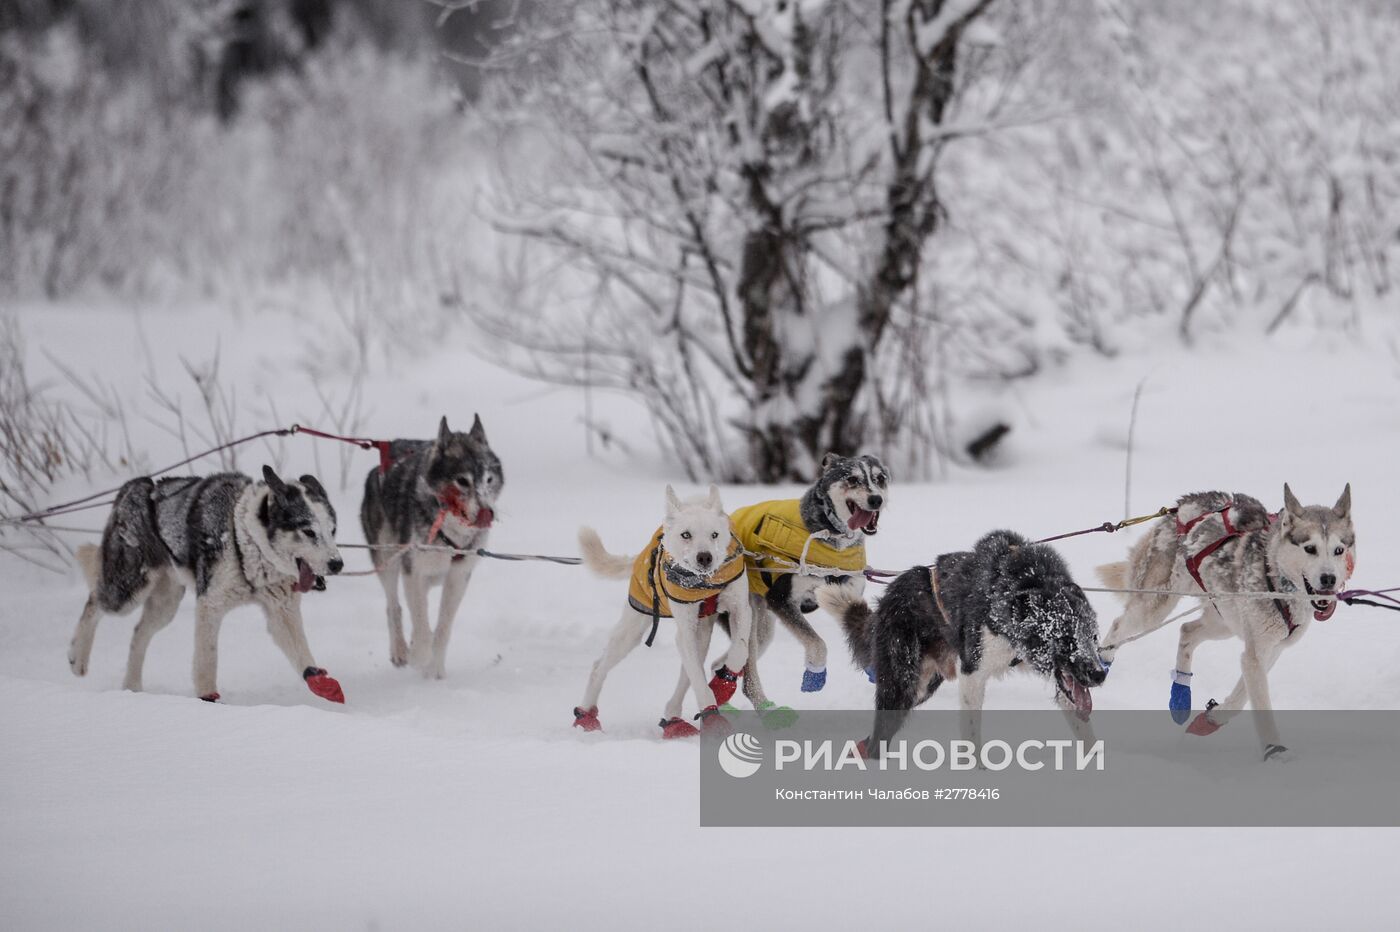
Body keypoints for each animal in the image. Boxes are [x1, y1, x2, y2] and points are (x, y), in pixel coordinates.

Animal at [68, 467, 347, 699]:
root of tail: (135, 485)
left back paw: (132, 686)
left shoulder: (281, 611)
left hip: (165, 604)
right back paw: (77, 657)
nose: (337, 564)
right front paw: (208, 697)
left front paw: (320, 683)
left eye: (332, 530)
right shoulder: (210, 606)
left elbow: (303, 654)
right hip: (127, 590)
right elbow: (207, 658)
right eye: (309, 531)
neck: (245, 539)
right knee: (95, 600)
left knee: (139, 633)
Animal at [361, 417, 504, 680]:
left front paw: (435, 667)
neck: (450, 530)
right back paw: (401, 650)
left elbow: (443, 626)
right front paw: (421, 656)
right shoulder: (413, 570)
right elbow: (419, 618)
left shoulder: (458, 575)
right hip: (387, 558)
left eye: (488, 479)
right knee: (394, 605)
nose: (487, 513)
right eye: (462, 480)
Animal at [817, 526, 1103, 750]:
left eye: (1093, 637)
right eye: (1065, 638)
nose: (1100, 674)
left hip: (922, 685)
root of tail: (889, 595)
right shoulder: (973, 674)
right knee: (878, 738)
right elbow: (972, 733)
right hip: (901, 683)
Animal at [1097, 481, 1349, 761]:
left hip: (1223, 621)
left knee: (1187, 630)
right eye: (1310, 548)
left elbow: (1240, 698)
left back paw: (1180, 696)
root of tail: (1181, 505)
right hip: (1156, 606)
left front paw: (1212, 719)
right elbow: (1258, 700)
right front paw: (1275, 751)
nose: (1329, 579)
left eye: (1339, 550)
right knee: (1120, 626)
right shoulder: (1255, 654)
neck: (1277, 578)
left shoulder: (1273, 648)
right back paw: (1101, 664)